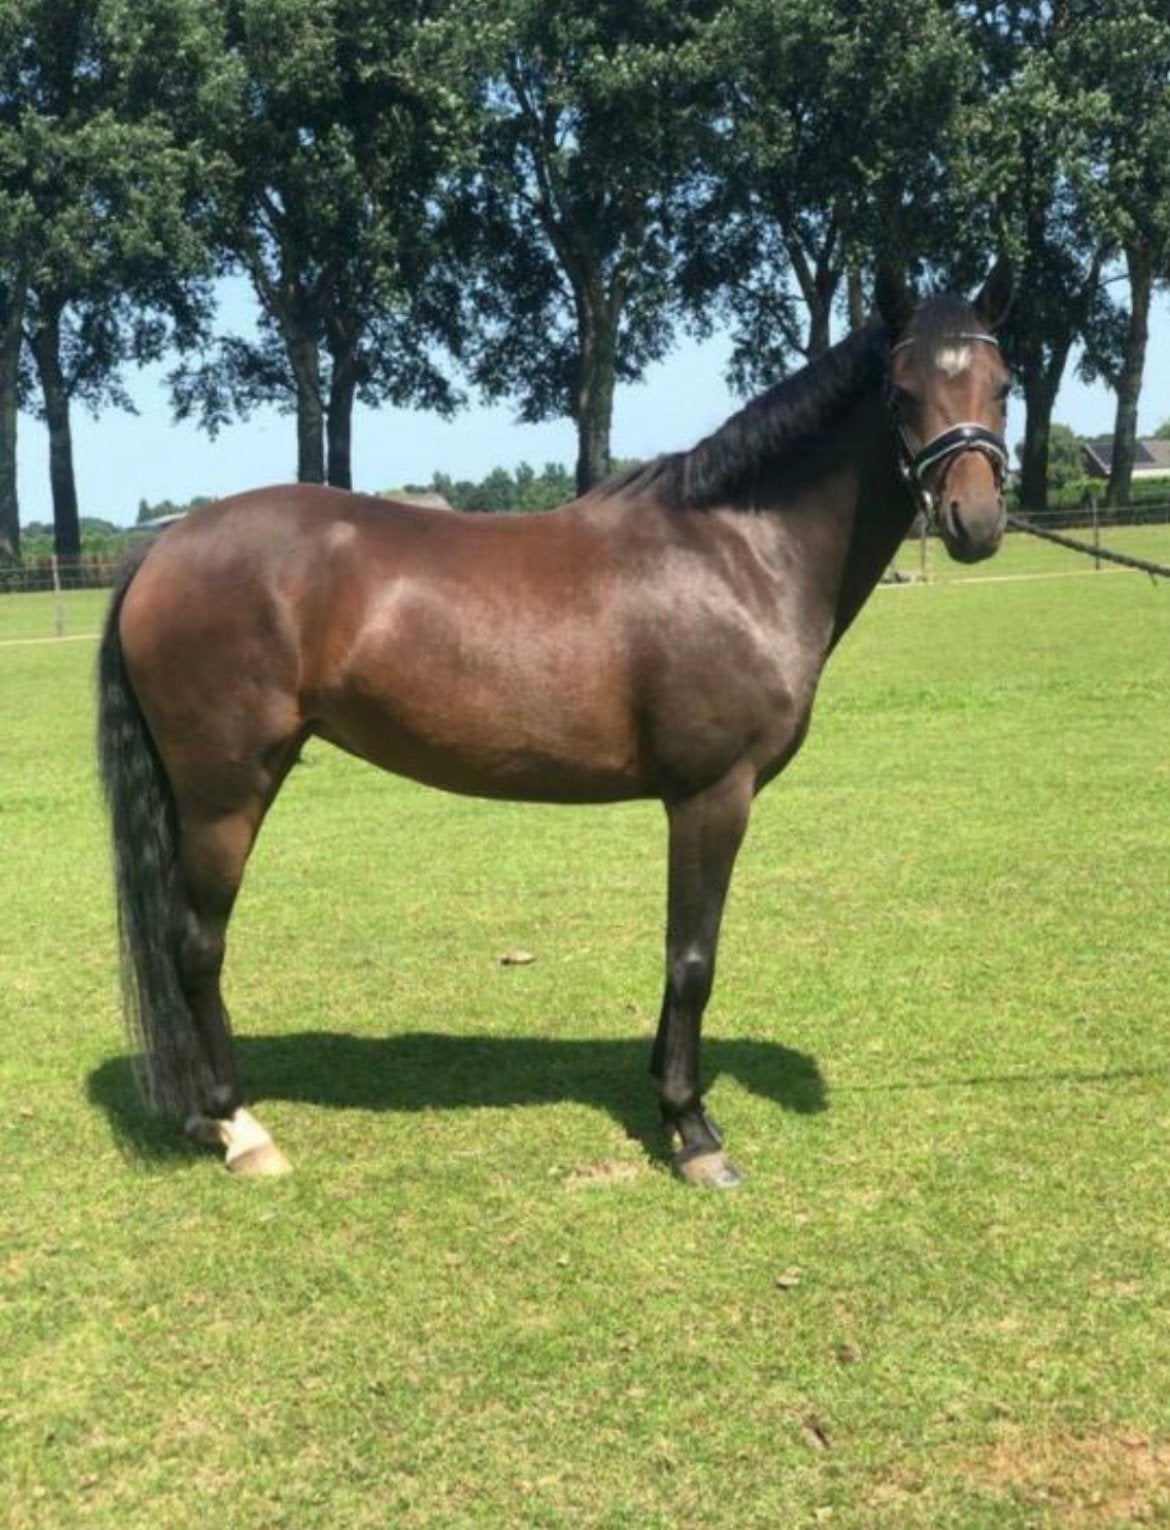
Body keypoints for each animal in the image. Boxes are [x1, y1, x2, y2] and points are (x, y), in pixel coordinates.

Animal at [97, 260, 1013, 1188]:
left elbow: (679, 955)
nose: (975, 522)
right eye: (900, 391)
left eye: (1003, 384)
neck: (738, 555)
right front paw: (693, 1132)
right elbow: (693, 958)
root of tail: (163, 549)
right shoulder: (713, 795)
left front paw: (669, 1096)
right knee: (196, 946)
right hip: (224, 796)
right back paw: (239, 1128)